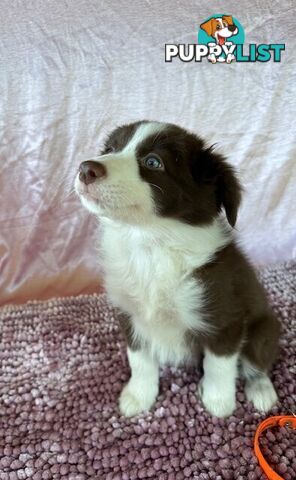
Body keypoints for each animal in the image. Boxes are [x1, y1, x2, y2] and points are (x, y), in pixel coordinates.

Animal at [74, 122, 280, 418]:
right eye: (110, 149)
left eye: (153, 162)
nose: (85, 168)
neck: (152, 245)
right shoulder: (130, 315)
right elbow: (139, 360)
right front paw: (139, 395)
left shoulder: (225, 320)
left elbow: (219, 365)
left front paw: (218, 401)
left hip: (264, 330)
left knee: (258, 363)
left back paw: (262, 391)